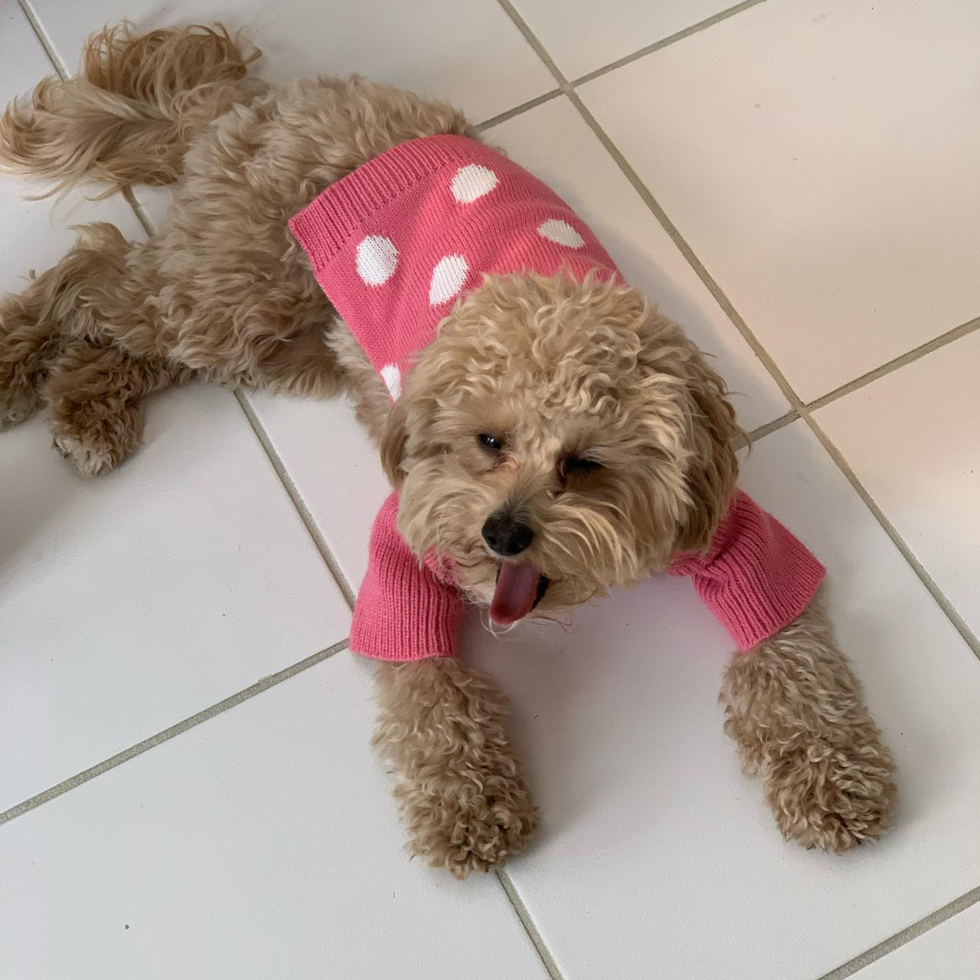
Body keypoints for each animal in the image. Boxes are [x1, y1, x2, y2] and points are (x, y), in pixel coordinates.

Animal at [0, 24, 896, 880]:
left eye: (585, 464)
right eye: (486, 442)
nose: (502, 534)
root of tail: (260, 102)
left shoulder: (728, 532)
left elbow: (790, 653)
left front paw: (834, 775)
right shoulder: (410, 530)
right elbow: (427, 685)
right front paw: (465, 806)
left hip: (272, 335)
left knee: (125, 325)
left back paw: (87, 406)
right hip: (228, 294)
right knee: (90, 273)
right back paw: (25, 368)